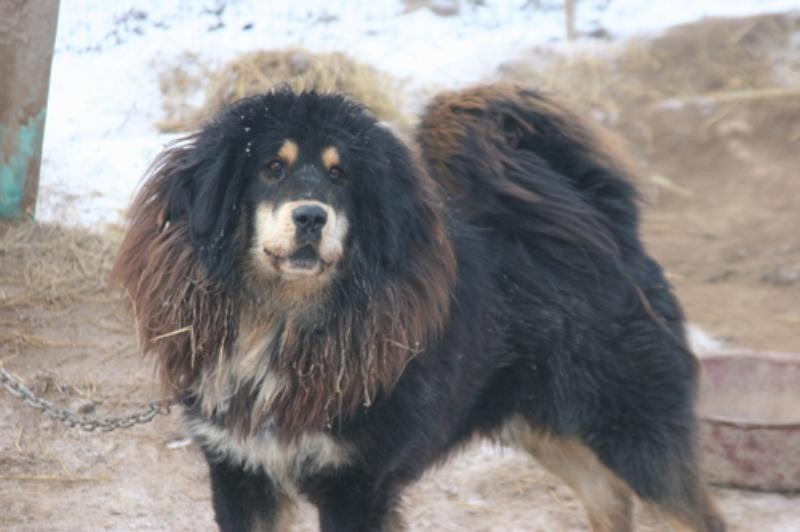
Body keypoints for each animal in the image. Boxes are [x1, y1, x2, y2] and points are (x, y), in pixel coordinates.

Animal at [112, 85, 725, 531]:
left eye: (340, 174)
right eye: (271, 168)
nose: (311, 216)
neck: (281, 323)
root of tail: (610, 228)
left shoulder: (356, 485)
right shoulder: (240, 472)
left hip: (633, 431)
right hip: (543, 424)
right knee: (609, 501)